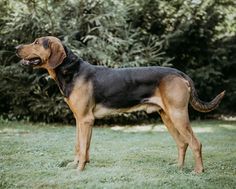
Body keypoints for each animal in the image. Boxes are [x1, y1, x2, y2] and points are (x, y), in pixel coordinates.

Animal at [15, 35, 224, 173]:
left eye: (36, 42)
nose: (16, 47)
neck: (71, 71)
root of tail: (179, 73)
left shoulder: (86, 119)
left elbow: (82, 147)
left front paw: (79, 169)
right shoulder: (79, 120)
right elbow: (80, 146)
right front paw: (77, 164)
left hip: (178, 115)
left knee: (196, 143)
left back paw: (198, 171)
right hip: (167, 116)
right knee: (182, 143)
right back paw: (178, 167)